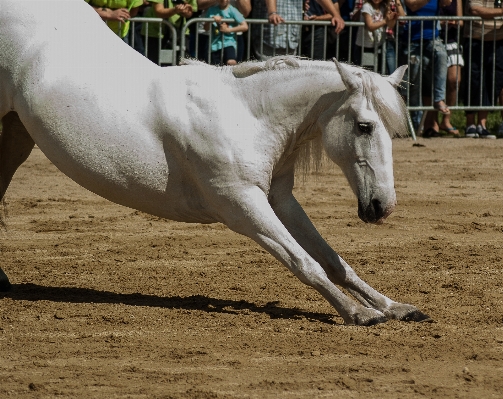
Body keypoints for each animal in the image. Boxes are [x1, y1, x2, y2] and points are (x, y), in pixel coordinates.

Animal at [0, 0, 434, 326]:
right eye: (364, 126)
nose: (381, 206)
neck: (247, 114)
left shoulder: (278, 199)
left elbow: (332, 260)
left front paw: (395, 307)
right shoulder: (241, 205)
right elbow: (304, 261)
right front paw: (358, 313)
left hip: (16, 134)